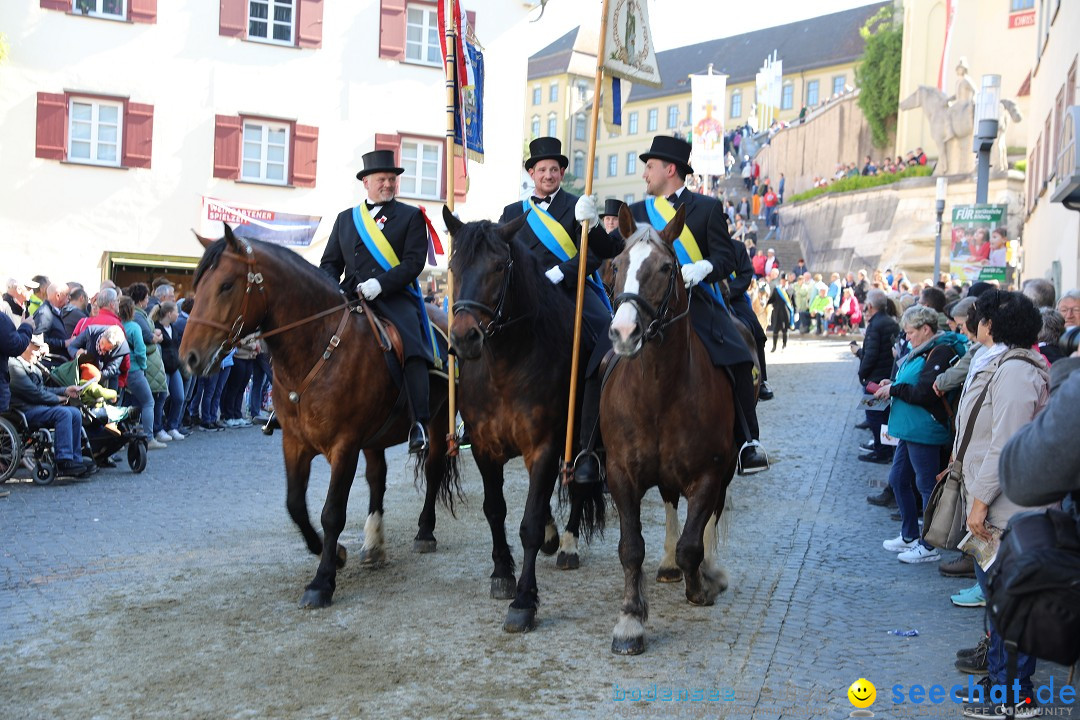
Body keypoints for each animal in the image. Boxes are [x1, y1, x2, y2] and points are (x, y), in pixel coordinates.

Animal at [183, 227, 453, 613]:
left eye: (226, 285)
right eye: (197, 283)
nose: (188, 357)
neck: (317, 345)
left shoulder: (345, 446)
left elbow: (332, 511)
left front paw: (322, 582)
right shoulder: (294, 442)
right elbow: (295, 505)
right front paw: (334, 552)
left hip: (437, 420)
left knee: (432, 469)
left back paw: (425, 531)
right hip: (376, 436)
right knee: (377, 478)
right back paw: (374, 544)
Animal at [440, 208, 609, 634]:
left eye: (500, 266)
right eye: (452, 266)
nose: (464, 337)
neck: (506, 364)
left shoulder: (545, 446)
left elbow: (529, 521)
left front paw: (524, 601)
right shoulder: (484, 448)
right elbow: (494, 509)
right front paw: (502, 572)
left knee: (580, 484)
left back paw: (567, 544)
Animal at [604, 205, 738, 656]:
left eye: (667, 267)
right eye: (616, 264)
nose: (624, 333)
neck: (659, 392)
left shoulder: (710, 472)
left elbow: (692, 544)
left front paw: (702, 585)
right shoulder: (620, 474)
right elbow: (630, 549)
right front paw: (630, 620)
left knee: (711, 517)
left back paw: (711, 570)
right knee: (667, 500)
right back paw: (664, 565)